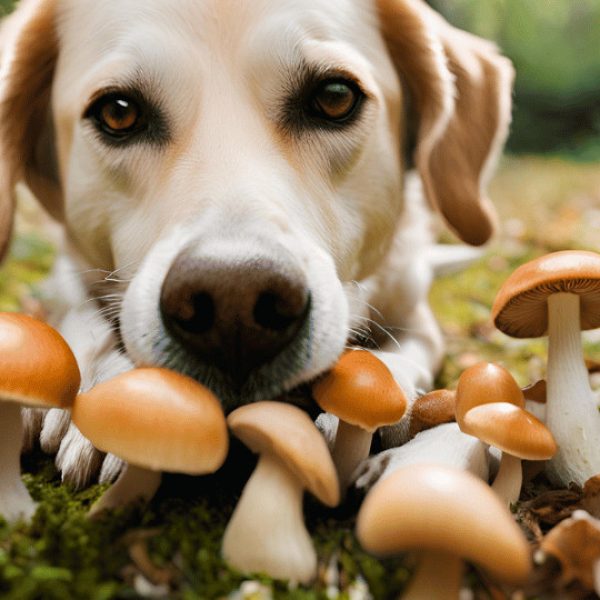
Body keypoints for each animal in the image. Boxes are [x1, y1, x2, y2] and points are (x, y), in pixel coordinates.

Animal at [1, 0, 510, 488]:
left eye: (334, 98)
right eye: (119, 111)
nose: (234, 308)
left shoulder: (412, 310)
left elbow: (403, 353)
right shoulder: (69, 278)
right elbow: (80, 321)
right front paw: (116, 391)